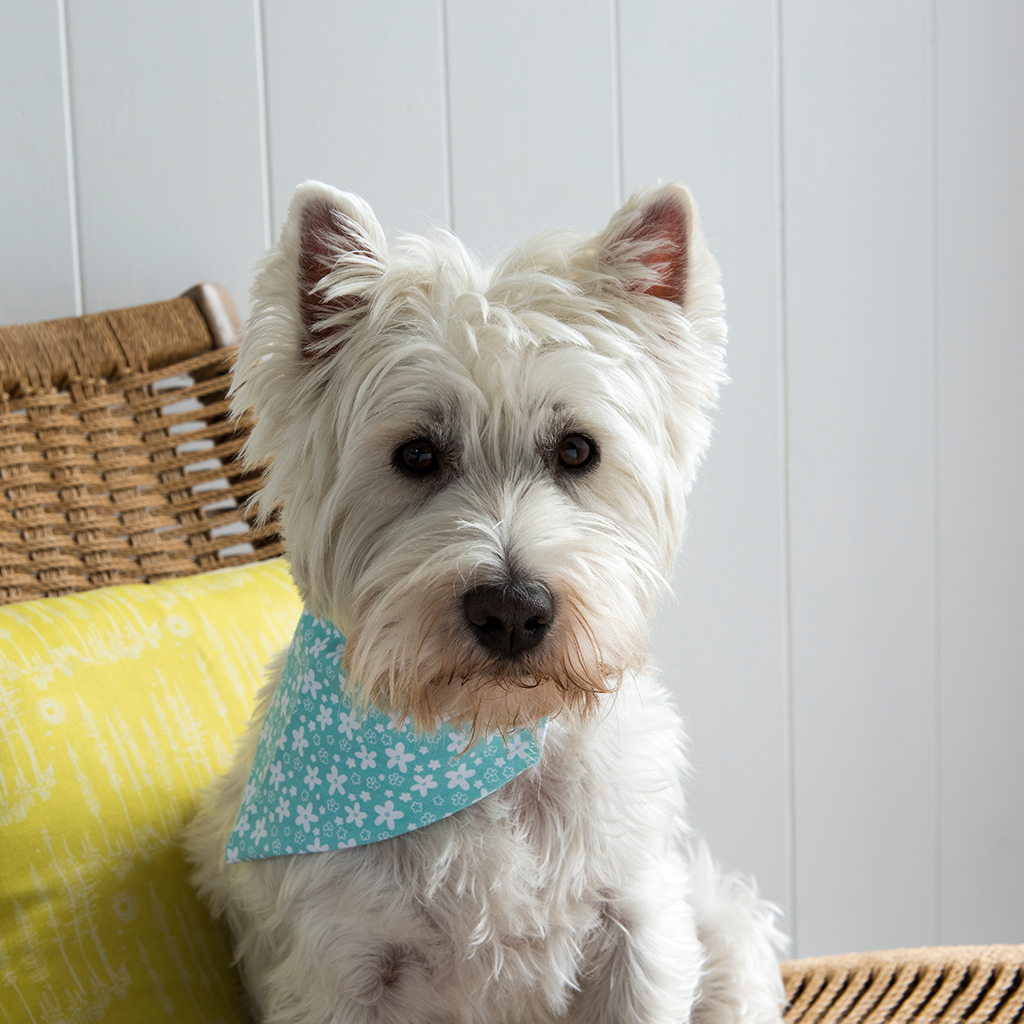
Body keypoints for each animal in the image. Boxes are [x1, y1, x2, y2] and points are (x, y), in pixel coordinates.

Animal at [184, 182, 786, 1024]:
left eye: (577, 450)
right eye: (415, 455)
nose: (512, 611)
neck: (480, 739)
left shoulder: (638, 924)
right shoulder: (337, 970)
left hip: (721, 922)